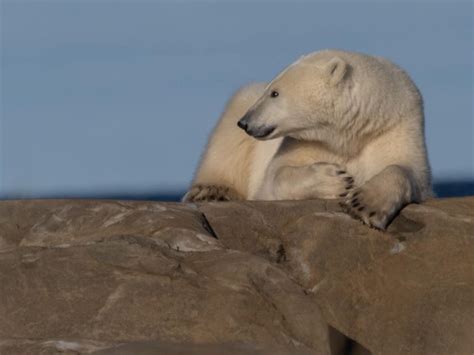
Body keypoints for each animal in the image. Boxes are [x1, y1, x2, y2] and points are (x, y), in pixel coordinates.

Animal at [183, 50, 432, 231]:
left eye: (275, 93)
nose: (245, 122)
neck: (350, 133)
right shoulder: (304, 142)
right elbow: (275, 176)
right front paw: (337, 180)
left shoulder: (395, 127)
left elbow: (407, 170)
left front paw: (365, 205)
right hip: (241, 105)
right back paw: (211, 190)